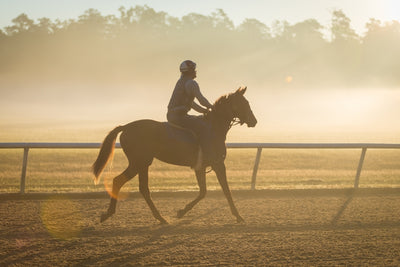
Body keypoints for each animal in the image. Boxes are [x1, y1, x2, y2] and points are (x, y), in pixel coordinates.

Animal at [92, 87, 258, 224]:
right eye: (244, 103)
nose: (254, 121)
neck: (213, 127)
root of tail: (126, 126)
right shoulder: (217, 164)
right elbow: (225, 190)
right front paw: (238, 216)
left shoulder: (201, 167)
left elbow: (203, 192)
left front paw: (181, 212)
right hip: (138, 162)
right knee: (119, 180)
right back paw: (109, 213)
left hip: (143, 163)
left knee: (143, 188)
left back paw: (160, 218)